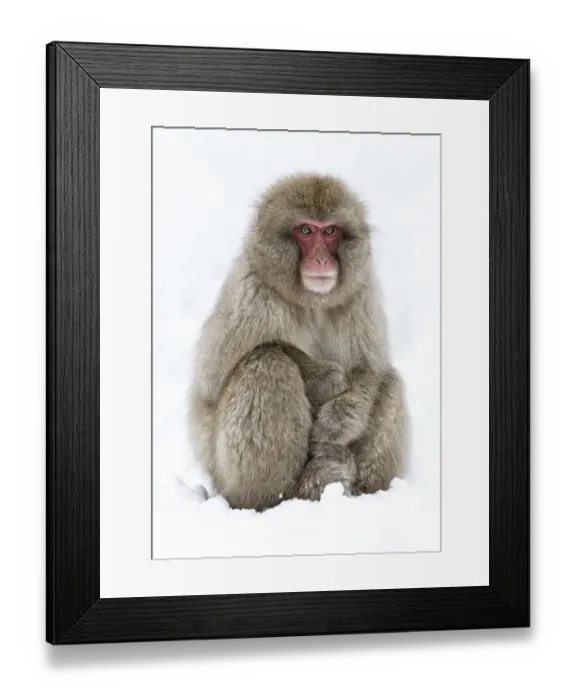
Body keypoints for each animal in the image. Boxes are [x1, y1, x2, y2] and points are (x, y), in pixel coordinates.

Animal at [188, 173, 408, 511]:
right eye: (305, 231)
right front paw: (327, 377)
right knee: (267, 363)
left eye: (330, 231)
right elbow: (211, 382)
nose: (320, 258)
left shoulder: (360, 294)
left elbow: (369, 368)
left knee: (390, 380)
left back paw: (365, 492)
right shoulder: (251, 294)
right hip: (226, 477)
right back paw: (286, 494)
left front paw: (340, 420)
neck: (311, 302)